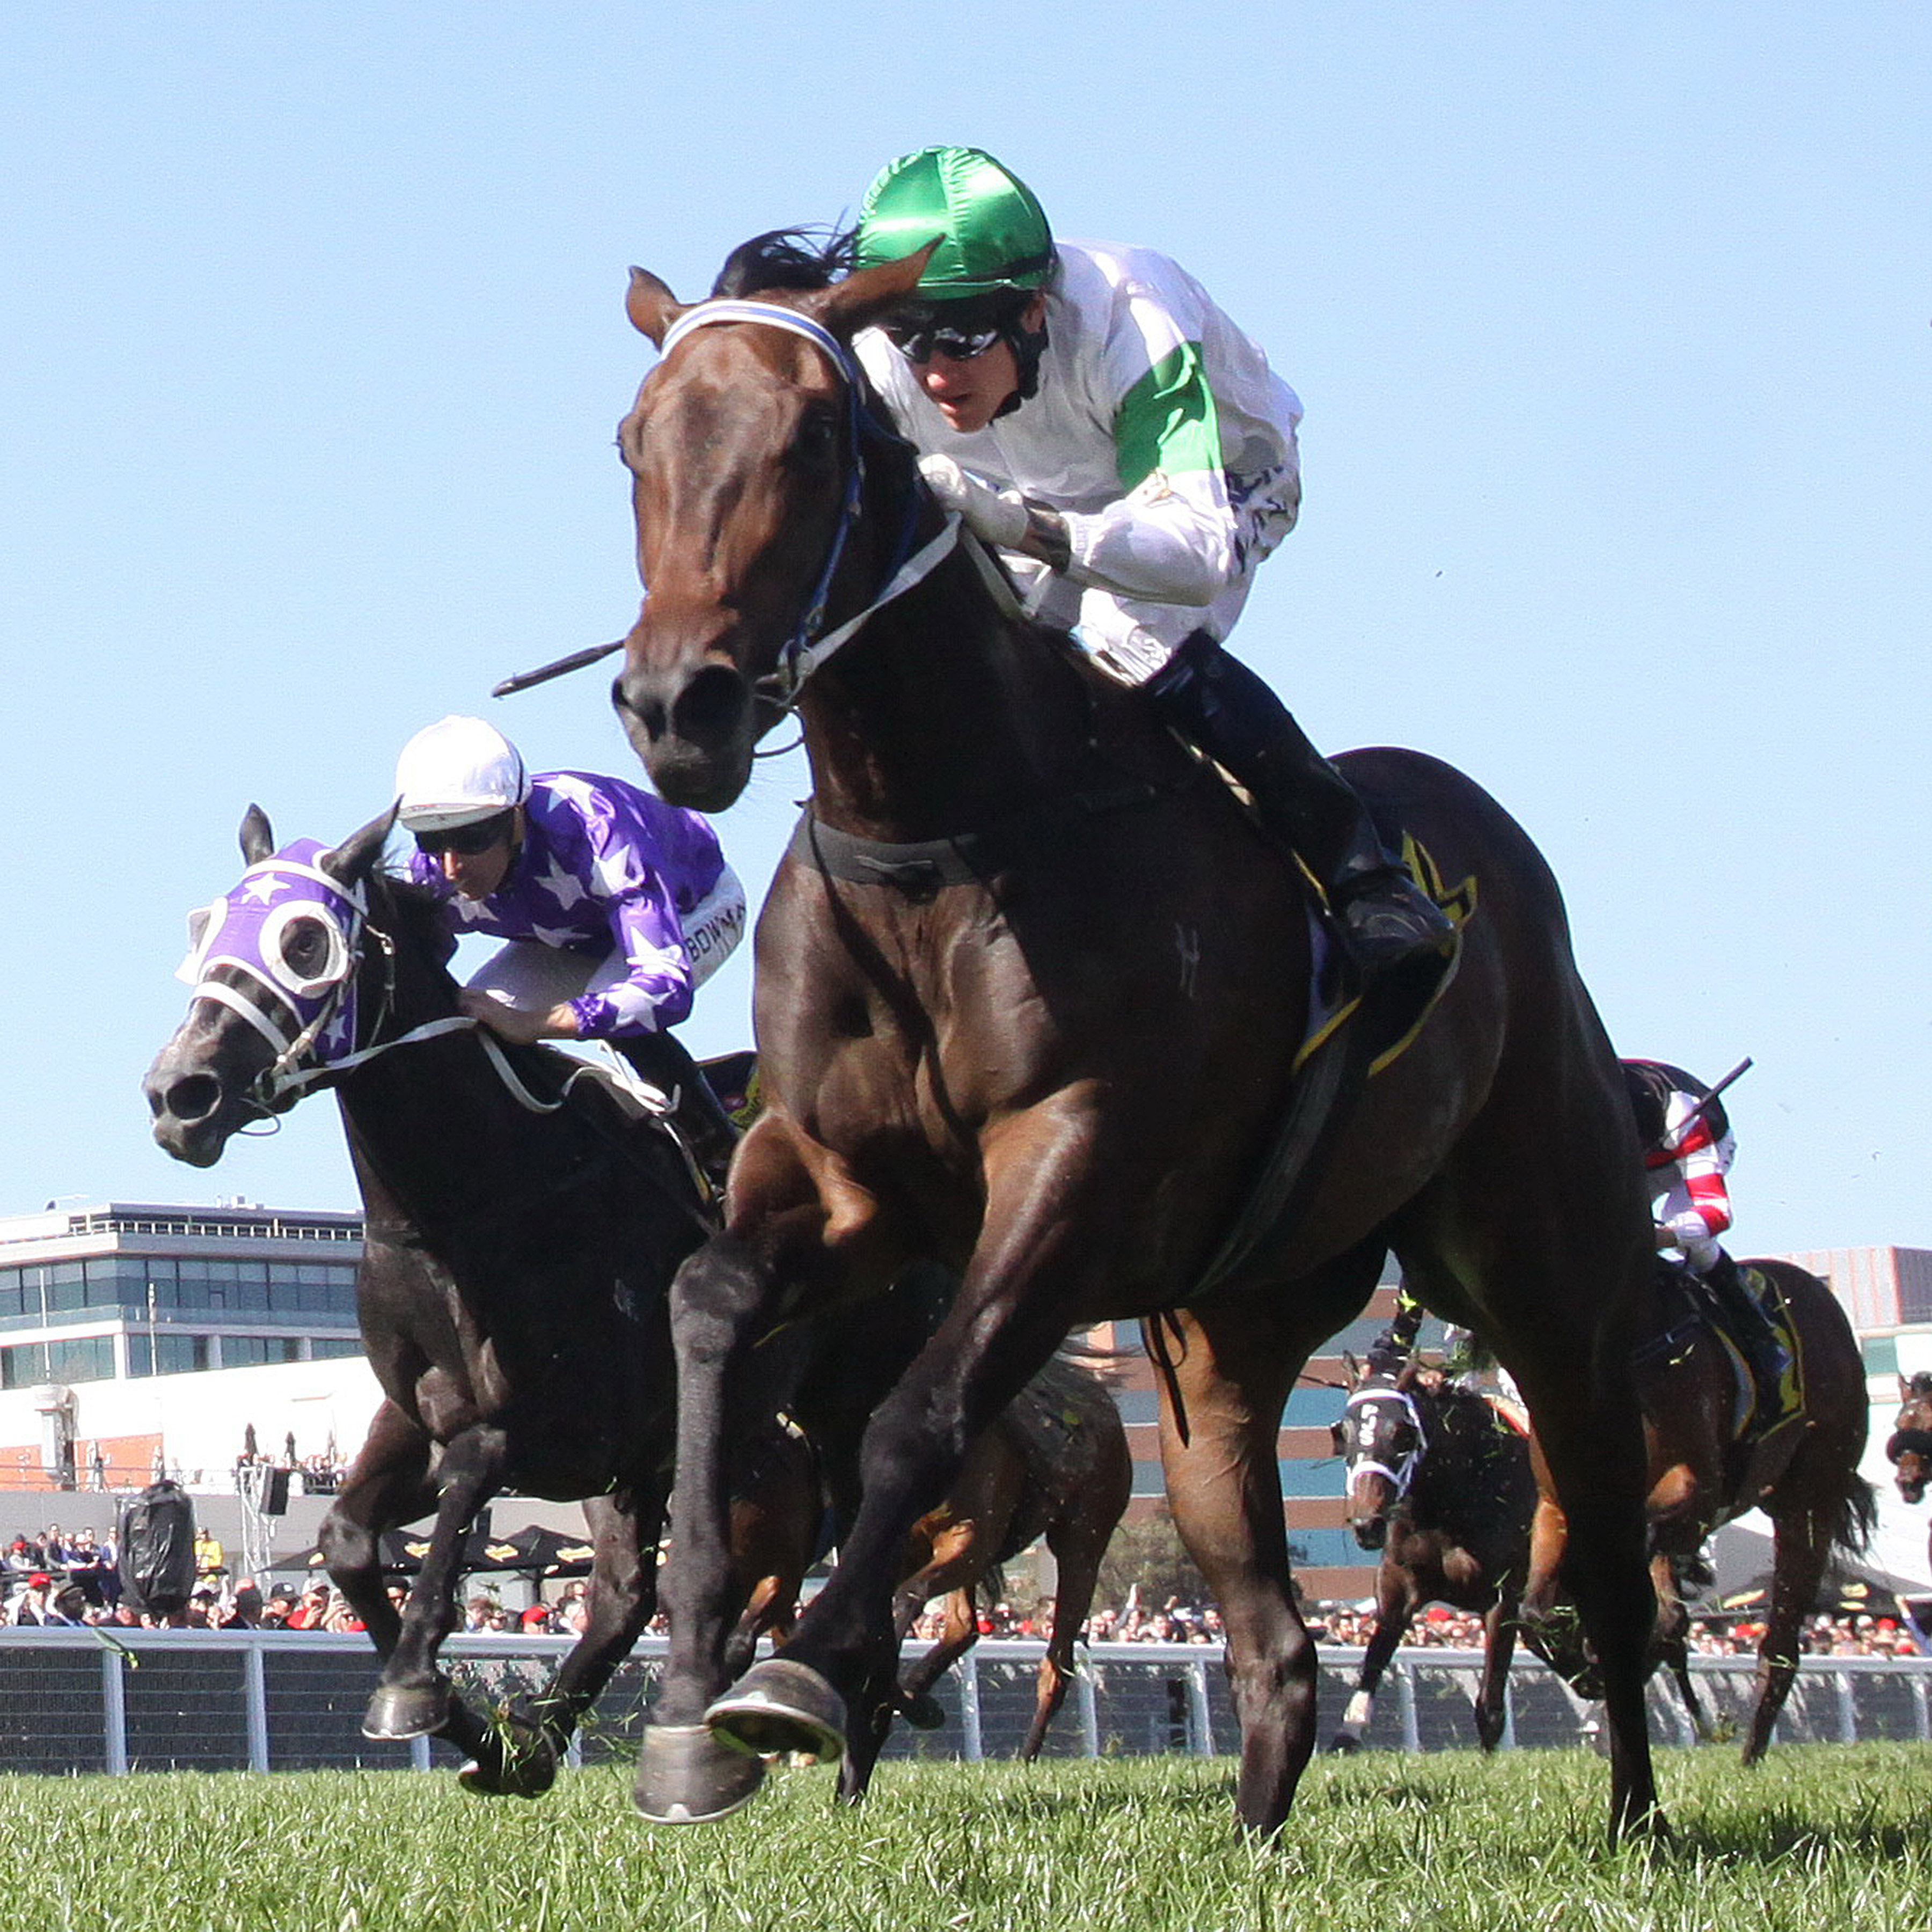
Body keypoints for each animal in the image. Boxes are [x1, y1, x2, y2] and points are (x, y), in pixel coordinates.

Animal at [142, 807, 818, 1795]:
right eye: (206, 931)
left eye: (305, 942)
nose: (178, 1094)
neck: (472, 1198)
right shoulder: (417, 1415)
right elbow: (349, 1538)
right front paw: (486, 1735)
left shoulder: (566, 1430)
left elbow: (471, 1475)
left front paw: (416, 1689)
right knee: (626, 1592)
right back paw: (545, 1738)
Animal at [604, 231, 1666, 1841]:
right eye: (632, 443)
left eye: (819, 439)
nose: (680, 705)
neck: (942, 832)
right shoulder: (841, 1178)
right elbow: (710, 1312)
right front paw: (682, 1708)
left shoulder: (1077, 1163)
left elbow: (923, 1413)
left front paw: (802, 1675)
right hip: (1225, 1334)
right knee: (1276, 1630)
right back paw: (1259, 1831)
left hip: (1544, 1266)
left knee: (1598, 1534)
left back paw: (1636, 1818)